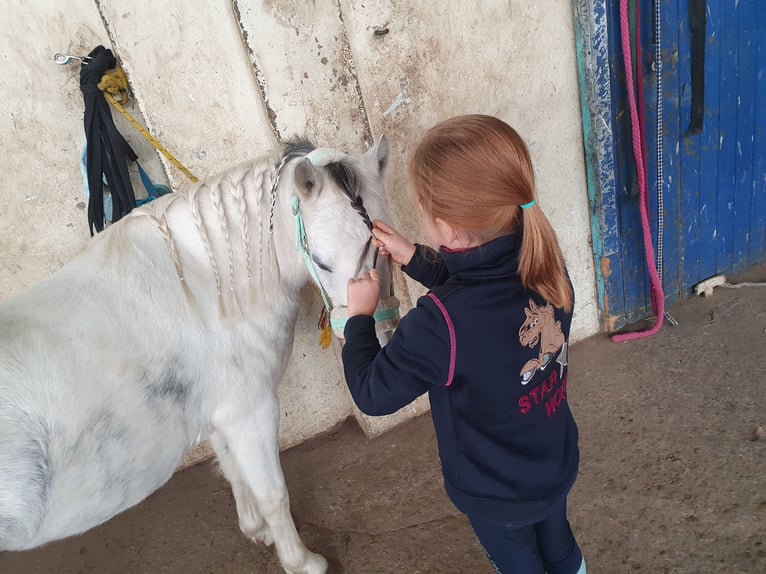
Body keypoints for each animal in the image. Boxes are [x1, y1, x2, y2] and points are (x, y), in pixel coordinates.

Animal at [0, 137, 392, 572]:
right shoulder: (250, 413)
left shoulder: (220, 415)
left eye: (385, 247)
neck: (205, 290)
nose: (374, 335)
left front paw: (258, 531)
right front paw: (303, 562)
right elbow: (273, 494)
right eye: (321, 262)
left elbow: (234, 473)